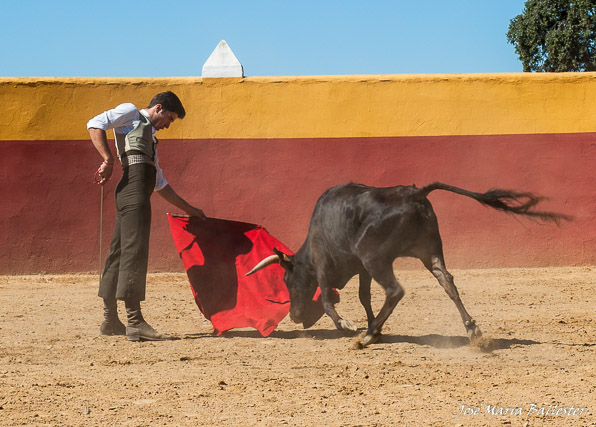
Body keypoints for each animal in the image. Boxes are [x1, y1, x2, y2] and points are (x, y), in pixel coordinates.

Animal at [246, 183, 568, 348]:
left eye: (287, 282)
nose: (295, 317)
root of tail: (414, 193)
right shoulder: (361, 269)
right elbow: (364, 296)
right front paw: (374, 326)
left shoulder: (327, 266)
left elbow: (327, 300)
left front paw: (351, 325)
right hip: (428, 251)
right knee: (447, 281)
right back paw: (472, 330)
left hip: (375, 256)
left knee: (396, 290)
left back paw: (365, 337)